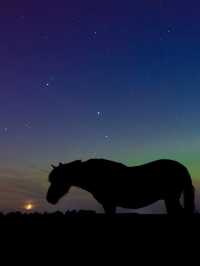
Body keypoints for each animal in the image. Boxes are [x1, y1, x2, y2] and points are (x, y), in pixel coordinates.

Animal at [46, 158, 195, 214]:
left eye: (58, 180)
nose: (49, 199)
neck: (96, 174)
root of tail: (182, 168)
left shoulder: (109, 204)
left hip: (171, 199)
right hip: (169, 200)